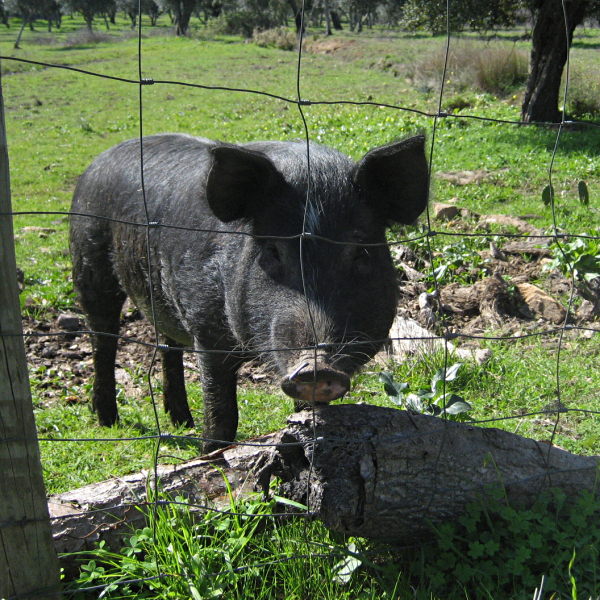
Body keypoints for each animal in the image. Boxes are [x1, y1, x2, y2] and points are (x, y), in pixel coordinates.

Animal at [69, 132, 426, 450]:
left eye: (360, 252)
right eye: (272, 251)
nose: (316, 366)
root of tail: (97, 162)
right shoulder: (205, 327)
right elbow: (222, 412)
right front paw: (210, 456)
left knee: (168, 344)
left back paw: (183, 421)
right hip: (88, 262)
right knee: (103, 339)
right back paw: (109, 421)